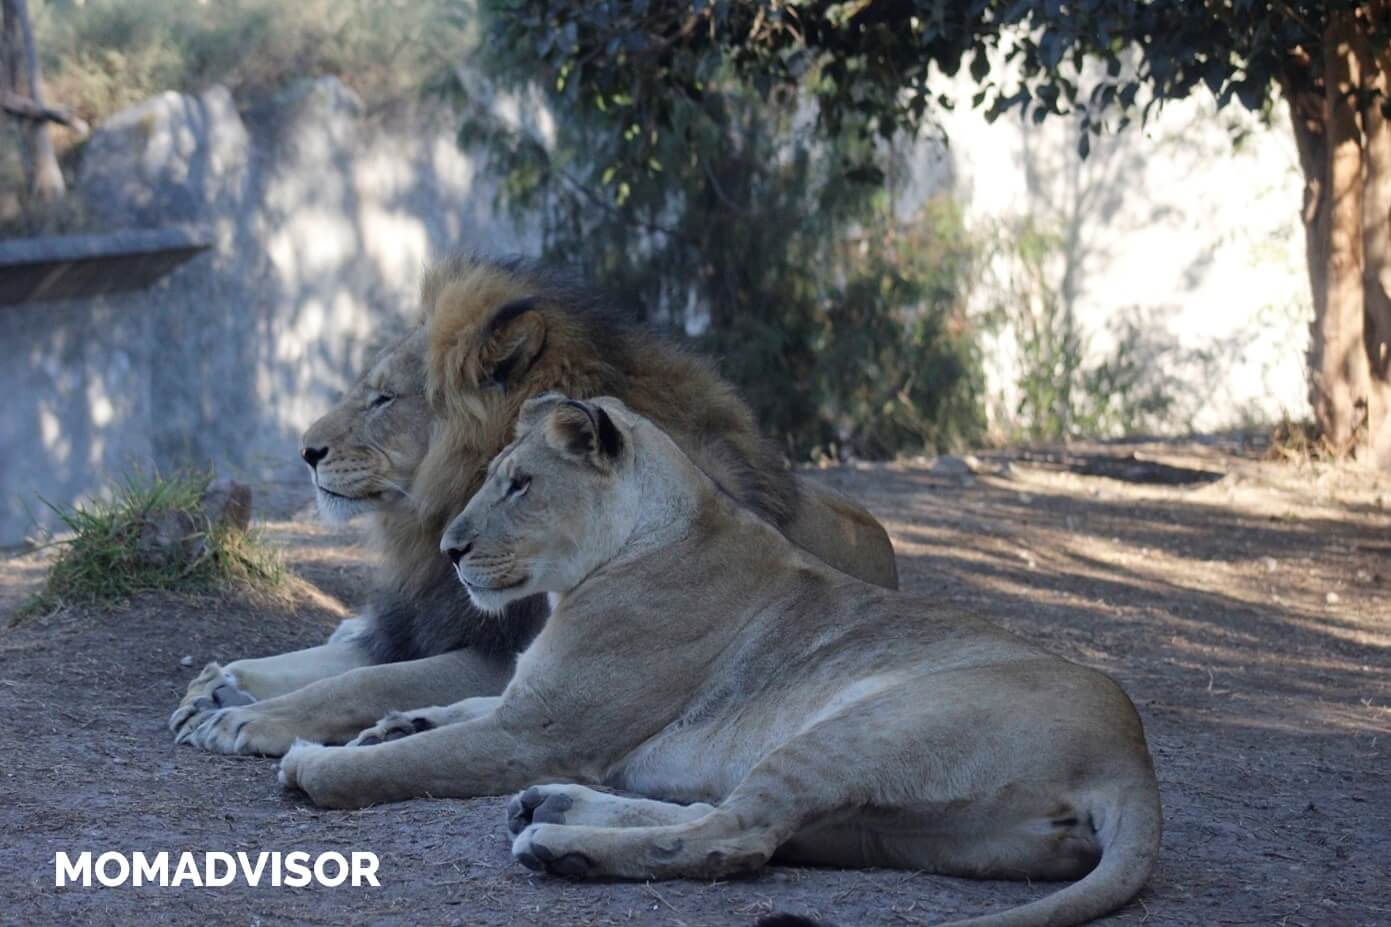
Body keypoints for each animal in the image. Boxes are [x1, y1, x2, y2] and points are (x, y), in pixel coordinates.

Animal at [170, 255, 898, 756]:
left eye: (383, 398)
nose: (305, 452)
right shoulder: (429, 623)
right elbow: (327, 663)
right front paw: (216, 685)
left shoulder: (498, 655)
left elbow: (360, 684)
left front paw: (244, 716)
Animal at [278, 394, 1162, 927]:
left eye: (520, 483)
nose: (452, 550)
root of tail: (1133, 763)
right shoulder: (528, 704)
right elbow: (454, 710)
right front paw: (390, 722)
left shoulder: (538, 733)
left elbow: (420, 756)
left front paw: (321, 764)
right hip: (888, 829)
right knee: (733, 819)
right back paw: (554, 808)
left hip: (858, 728)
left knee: (733, 839)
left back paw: (560, 843)